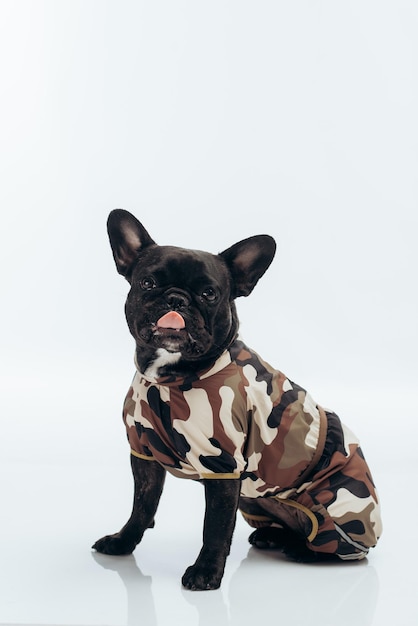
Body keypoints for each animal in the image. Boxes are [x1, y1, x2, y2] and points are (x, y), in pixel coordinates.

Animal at [93, 210, 380, 588]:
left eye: (209, 293)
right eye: (147, 283)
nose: (176, 299)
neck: (173, 377)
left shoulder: (224, 466)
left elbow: (214, 527)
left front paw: (205, 573)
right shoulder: (143, 453)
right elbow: (141, 506)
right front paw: (123, 542)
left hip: (332, 508)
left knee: (339, 548)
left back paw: (300, 550)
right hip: (253, 502)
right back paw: (273, 536)